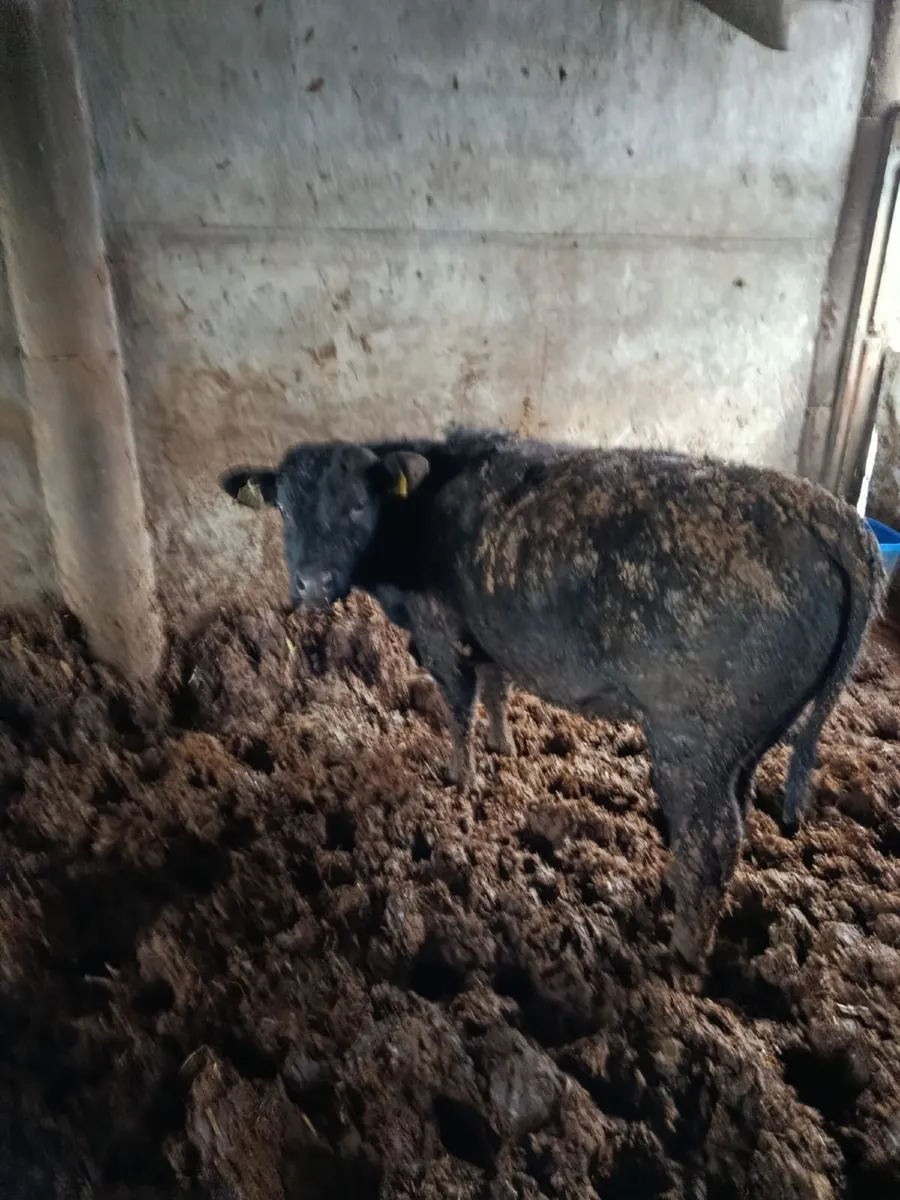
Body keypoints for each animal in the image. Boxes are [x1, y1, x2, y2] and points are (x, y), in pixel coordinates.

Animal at [222, 430, 883, 965]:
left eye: (358, 504)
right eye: (284, 507)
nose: (311, 583)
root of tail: (827, 512)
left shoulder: (439, 629)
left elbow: (458, 703)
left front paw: (460, 776)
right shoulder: (489, 631)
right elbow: (494, 688)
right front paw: (504, 745)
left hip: (694, 740)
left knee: (712, 838)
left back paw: (682, 952)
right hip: (743, 741)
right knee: (733, 817)